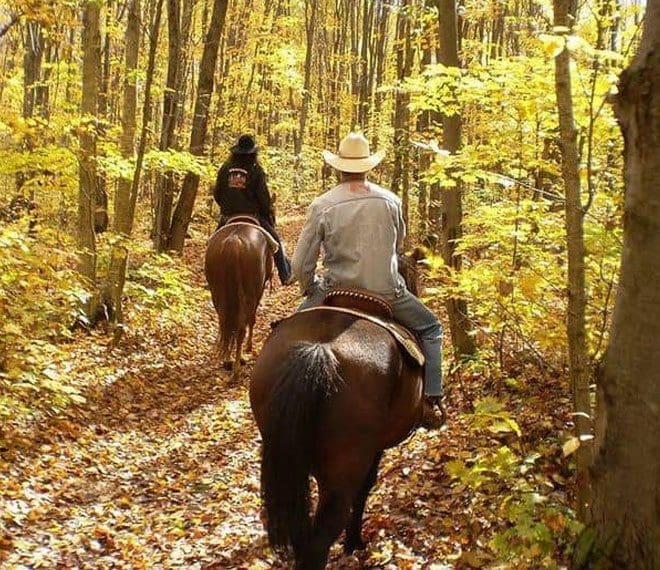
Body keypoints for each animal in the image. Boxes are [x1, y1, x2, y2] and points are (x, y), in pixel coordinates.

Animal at [204, 222, 270, 378]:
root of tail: (234, 241)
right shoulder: (259, 291)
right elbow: (252, 320)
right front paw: (249, 347)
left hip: (218, 294)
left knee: (226, 325)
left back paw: (228, 361)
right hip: (249, 295)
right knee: (241, 328)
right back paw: (237, 367)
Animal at [250, 256, 426, 568]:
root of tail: (319, 349)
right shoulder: (374, 451)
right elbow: (365, 488)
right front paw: (354, 543)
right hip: (344, 470)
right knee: (320, 540)